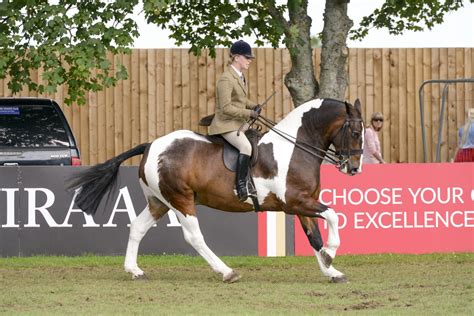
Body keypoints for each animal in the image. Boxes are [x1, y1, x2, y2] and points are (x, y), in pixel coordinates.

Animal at [67, 97, 362, 282]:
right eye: (356, 133)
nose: (355, 168)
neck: (293, 148)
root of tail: (150, 145)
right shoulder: (295, 202)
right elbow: (333, 216)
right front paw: (332, 253)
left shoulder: (304, 203)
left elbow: (315, 238)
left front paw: (331, 270)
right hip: (181, 200)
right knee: (194, 237)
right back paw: (226, 272)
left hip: (159, 202)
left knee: (137, 227)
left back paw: (134, 270)